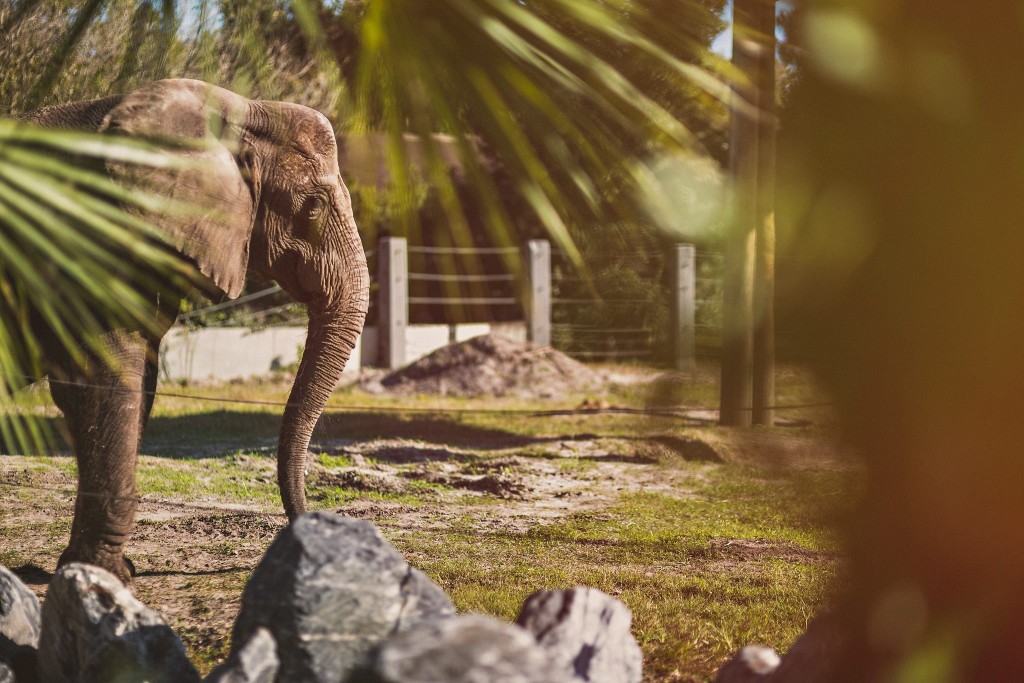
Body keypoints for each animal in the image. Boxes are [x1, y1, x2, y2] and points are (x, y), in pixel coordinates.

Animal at [20, 78, 370, 583]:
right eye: (313, 208)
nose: (312, 527)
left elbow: (130, 381)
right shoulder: (90, 242)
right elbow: (105, 377)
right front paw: (103, 574)